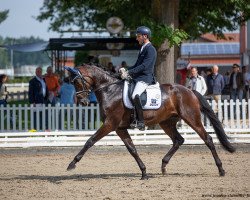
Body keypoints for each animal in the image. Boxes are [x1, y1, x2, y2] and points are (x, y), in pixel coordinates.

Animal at [65, 64, 235, 180]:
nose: (83, 102)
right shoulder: (120, 128)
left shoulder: (110, 124)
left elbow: (90, 141)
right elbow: (132, 149)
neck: (110, 91)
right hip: (166, 123)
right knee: (178, 140)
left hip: (192, 118)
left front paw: (72, 164)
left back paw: (221, 170)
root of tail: (190, 91)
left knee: (208, 139)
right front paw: (144, 172)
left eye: (78, 83)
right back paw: (164, 166)